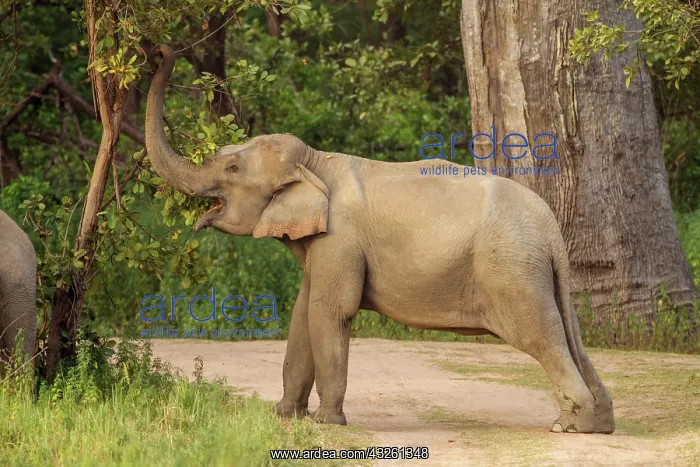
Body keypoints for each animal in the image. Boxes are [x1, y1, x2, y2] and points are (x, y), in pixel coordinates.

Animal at [145, 44, 615, 434]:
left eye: (232, 169)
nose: (161, 51)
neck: (316, 160)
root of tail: (551, 229)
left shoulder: (340, 240)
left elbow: (331, 311)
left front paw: (327, 423)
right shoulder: (323, 248)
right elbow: (302, 311)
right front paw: (283, 416)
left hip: (511, 269)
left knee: (541, 336)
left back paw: (569, 427)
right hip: (538, 273)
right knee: (567, 333)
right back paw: (597, 423)